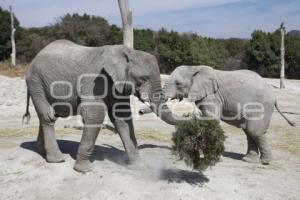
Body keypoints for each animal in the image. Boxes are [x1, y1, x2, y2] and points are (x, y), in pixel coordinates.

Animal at [23, 39, 186, 173]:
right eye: (143, 79)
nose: (141, 111)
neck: (126, 52)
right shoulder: (94, 79)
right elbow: (95, 114)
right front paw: (84, 170)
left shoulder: (118, 83)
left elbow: (122, 117)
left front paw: (139, 168)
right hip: (35, 81)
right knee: (48, 116)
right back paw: (57, 159)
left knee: (46, 116)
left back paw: (42, 152)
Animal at [163, 65, 294, 164]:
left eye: (178, 83)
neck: (194, 67)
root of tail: (274, 96)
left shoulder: (212, 96)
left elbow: (212, 119)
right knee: (249, 132)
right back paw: (248, 160)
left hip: (261, 107)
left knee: (254, 131)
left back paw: (266, 162)